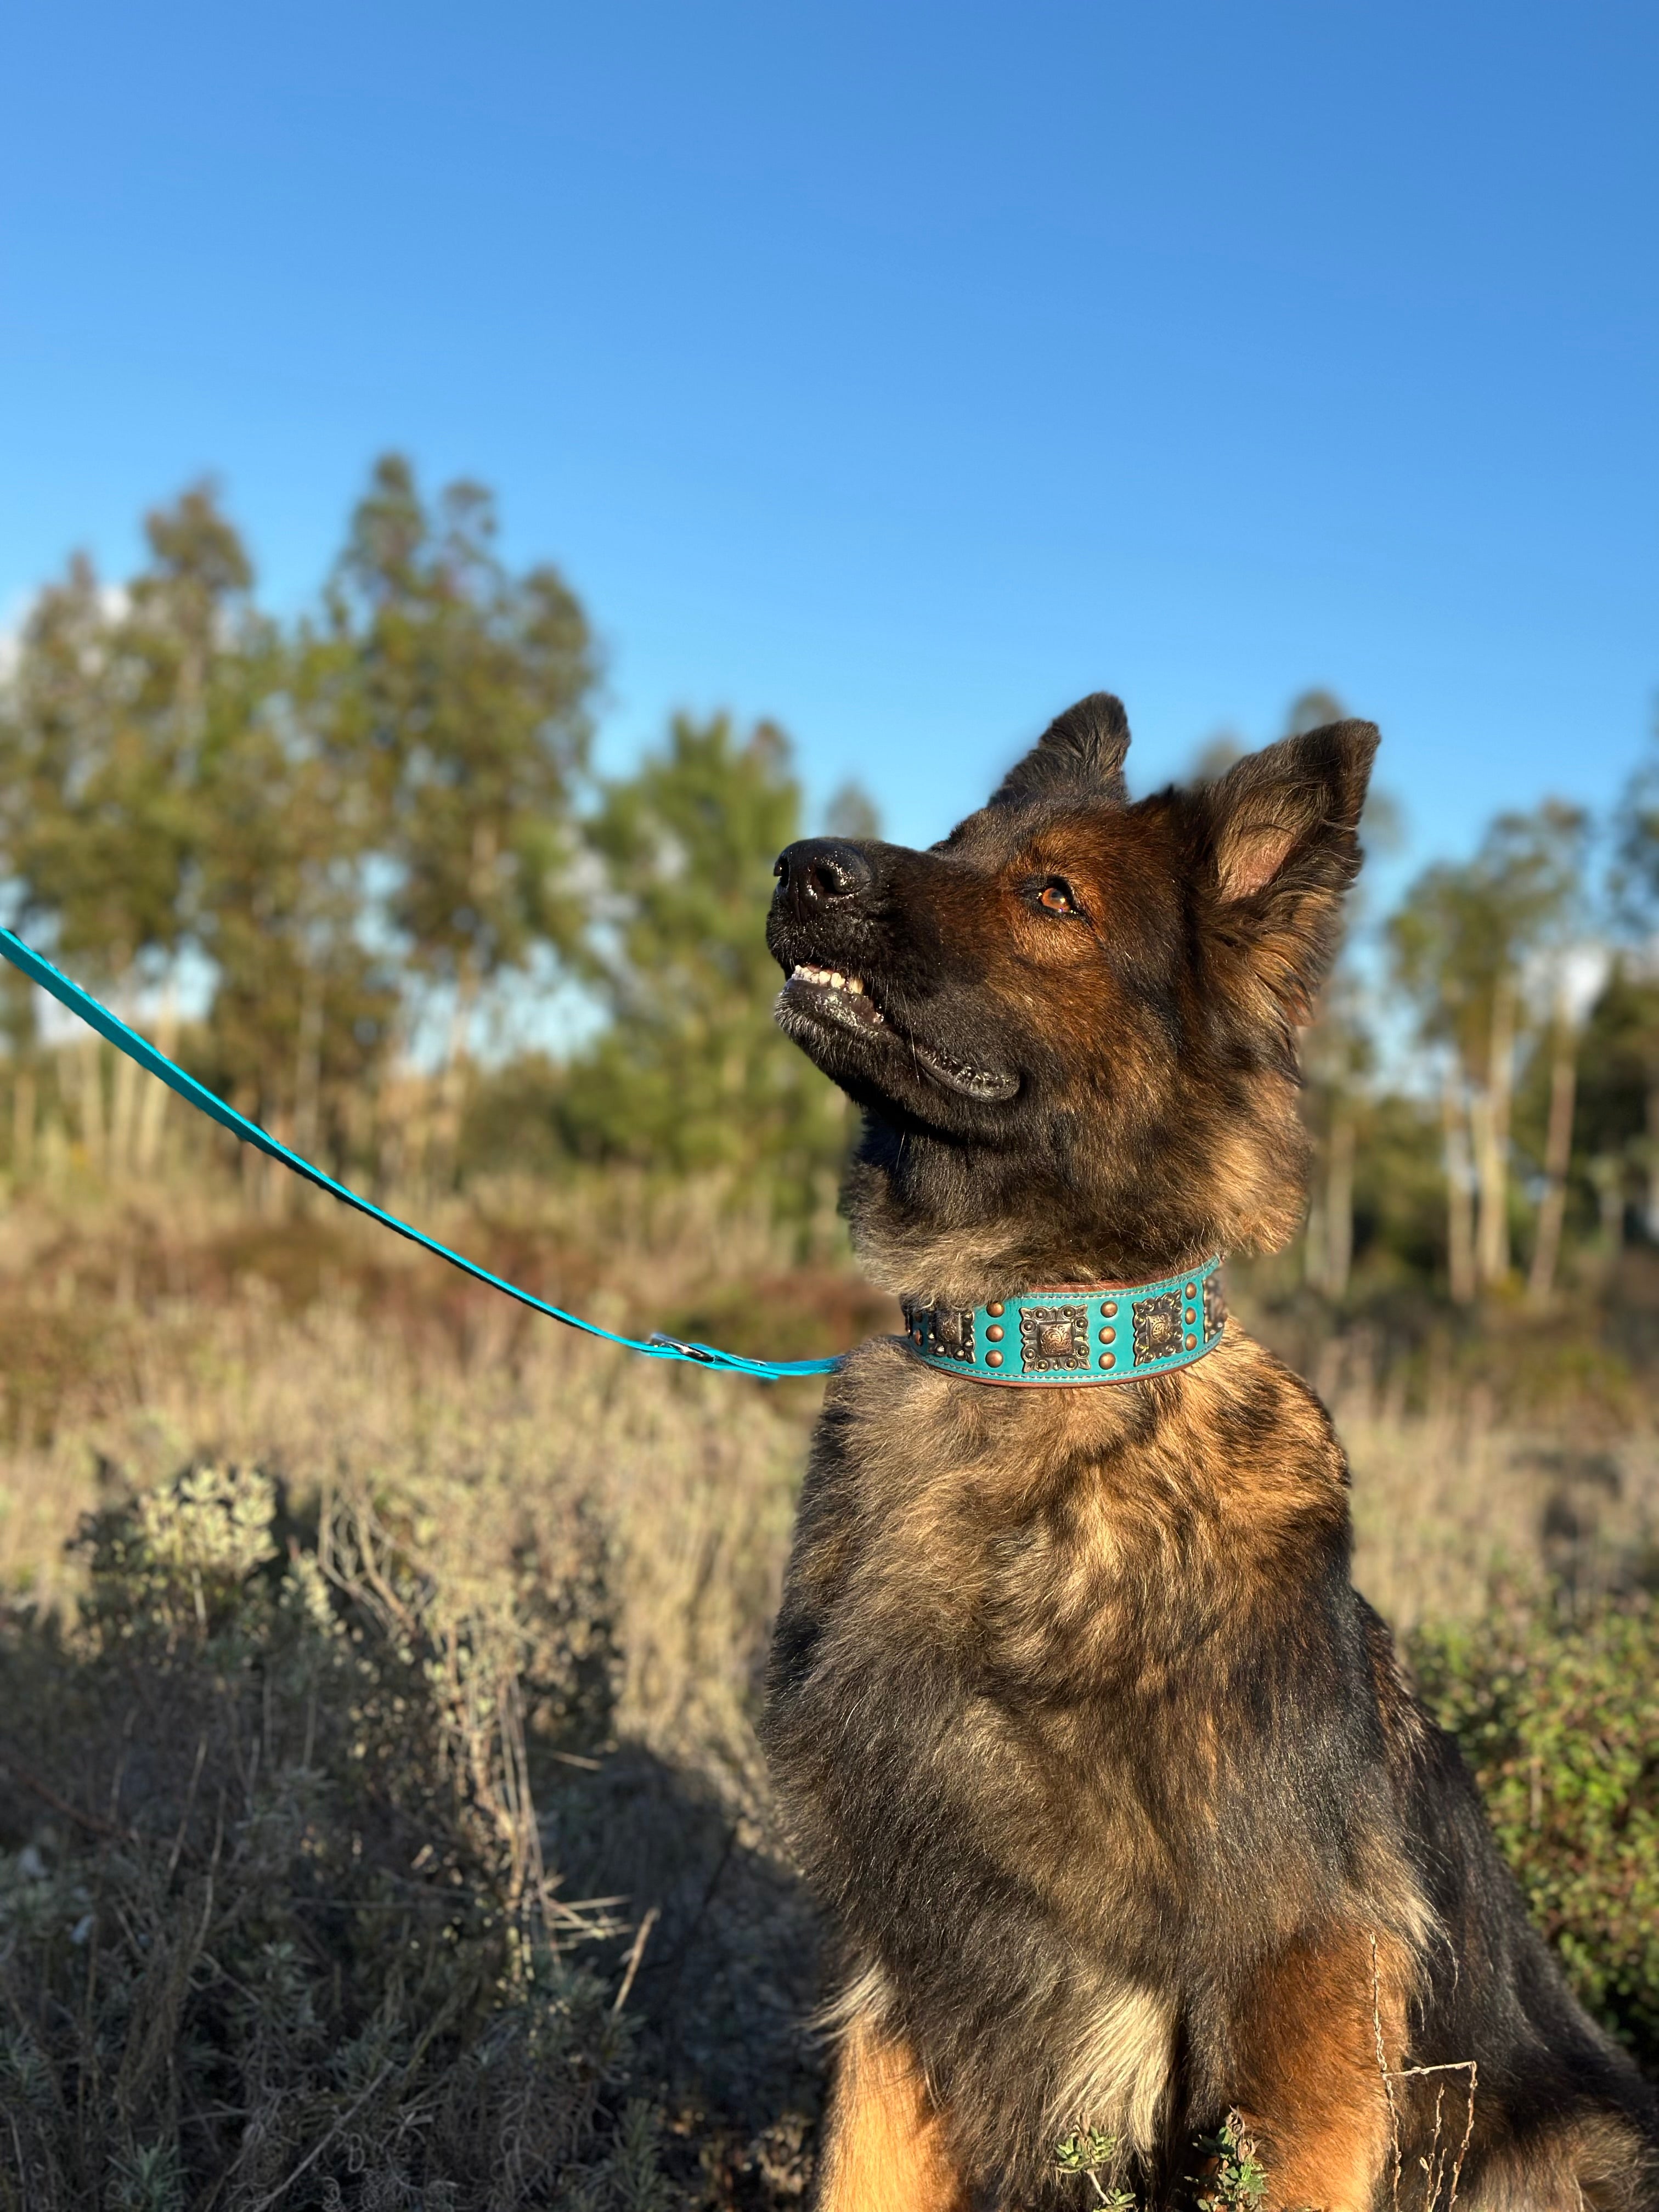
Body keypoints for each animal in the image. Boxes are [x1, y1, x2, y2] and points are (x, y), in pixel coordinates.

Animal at [761, 695, 1654, 2212]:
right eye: (954, 841)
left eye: (1051, 896)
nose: (799, 868)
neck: (1040, 1352)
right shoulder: (905, 1965)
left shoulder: (1299, 1963)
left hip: (1577, 2149)